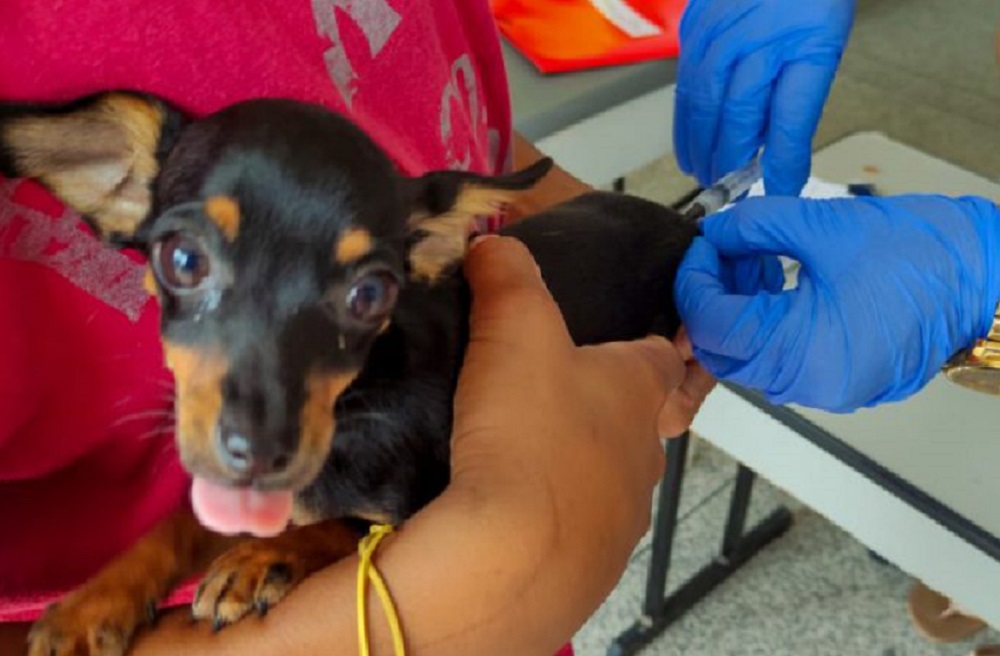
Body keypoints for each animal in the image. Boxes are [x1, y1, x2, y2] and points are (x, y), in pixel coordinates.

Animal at [0, 92, 698, 655]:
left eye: (371, 294)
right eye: (182, 260)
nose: (261, 449)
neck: (355, 405)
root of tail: (684, 218)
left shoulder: (416, 504)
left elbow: (341, 524)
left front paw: (261, 557)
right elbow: (176, 524)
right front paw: (88, 605)